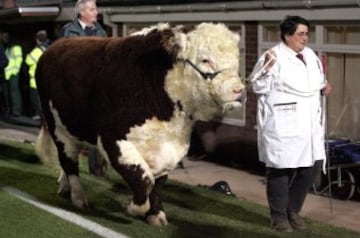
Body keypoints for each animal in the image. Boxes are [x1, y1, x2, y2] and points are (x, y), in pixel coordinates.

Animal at [35, 21, 245, 225]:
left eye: (236, 61)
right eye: (205, 60)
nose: (239, 90)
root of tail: (56, 45)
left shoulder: (168, 150)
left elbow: (157, 184)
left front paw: (156, 215)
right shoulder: (113, 139)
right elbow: (144, 181)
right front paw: (132, 208)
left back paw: (64, 186)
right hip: (57, 128)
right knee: (69, 161)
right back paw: (78, 197)